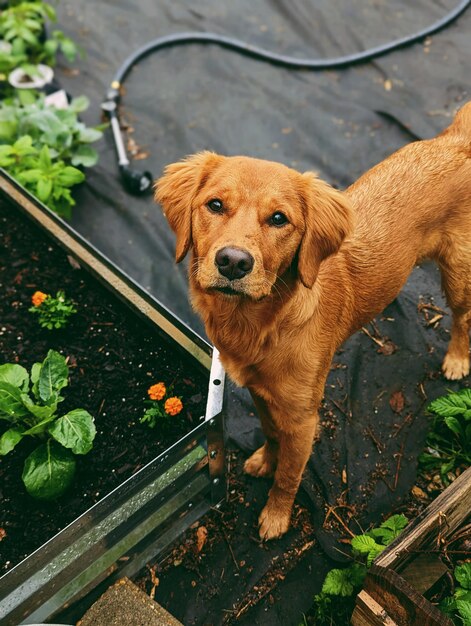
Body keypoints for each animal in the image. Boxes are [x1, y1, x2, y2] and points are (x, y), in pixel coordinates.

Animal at [156, 101, 471, 536]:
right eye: (215, 205)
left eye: (279, 219)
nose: (233, 262)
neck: (261, 325)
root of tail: (455, 140)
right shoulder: (261, 394)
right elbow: (271, 434)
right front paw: (265, 460)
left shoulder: (304, 419)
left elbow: (290, 475)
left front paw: (276, 516)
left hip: (458, 273)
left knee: (463, 317)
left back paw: (457, 359)